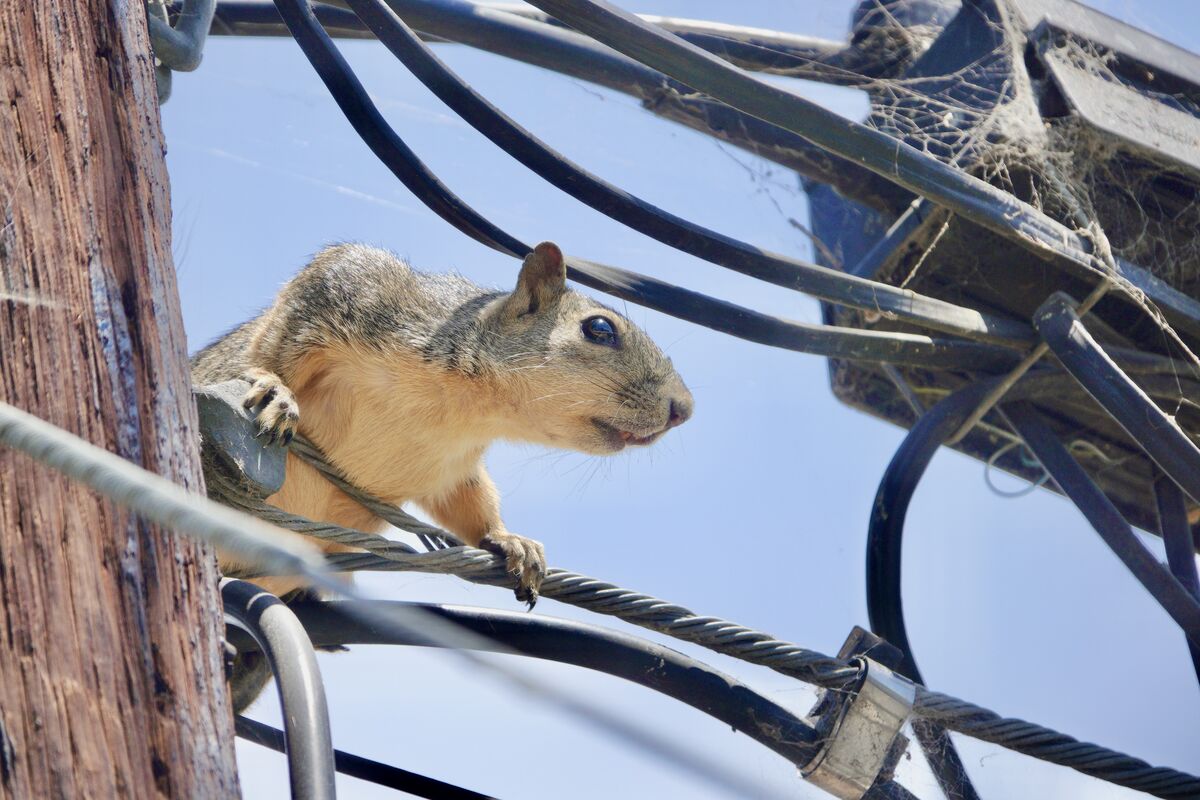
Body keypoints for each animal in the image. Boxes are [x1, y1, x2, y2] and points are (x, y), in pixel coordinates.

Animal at [191, 241, 693, 606]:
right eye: (599, 329)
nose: (683, 409)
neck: (463, 409)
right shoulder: (349, 288)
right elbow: (272, 348)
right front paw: (275, 390)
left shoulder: (453, 464)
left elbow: (469, 500)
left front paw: (510, 541)